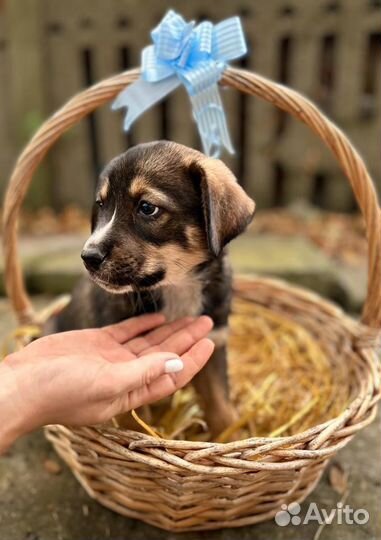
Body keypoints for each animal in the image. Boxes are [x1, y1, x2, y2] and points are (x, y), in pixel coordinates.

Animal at [49, 141, 254, 436]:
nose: (88, 257)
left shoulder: (214, 343)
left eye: (147, 208)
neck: (176, 287)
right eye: (101, 204)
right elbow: (134, 422)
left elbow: (221, 409)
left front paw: (233, 438)